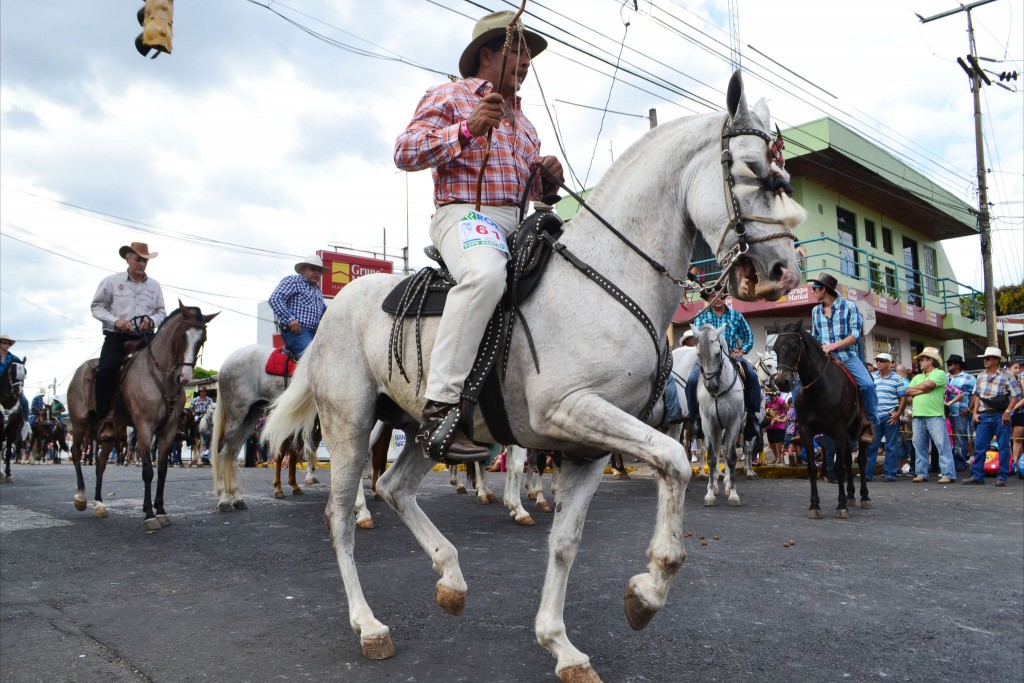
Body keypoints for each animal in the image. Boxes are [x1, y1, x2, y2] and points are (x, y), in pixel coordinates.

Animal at [67, 301, 218, 532]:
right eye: (182, 336)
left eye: (202, 339)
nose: (184, 377)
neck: (162, 379)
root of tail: (79, 370)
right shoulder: (144, 428)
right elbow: (148, 470)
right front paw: (149, 515)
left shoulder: (168, 430)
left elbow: (162, 470)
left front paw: (161, 511)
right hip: (79, 423)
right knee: (76, 453)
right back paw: (81, 498)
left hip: (109, 436)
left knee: (100, 465)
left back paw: (99, 504)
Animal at [262, 70, 798, 683]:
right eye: (754, 170)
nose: (784, 271)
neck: (608, 276)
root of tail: (335, 309)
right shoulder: (570, 412)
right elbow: (676, 461)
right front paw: (648, 590)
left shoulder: (588, 446)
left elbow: (565, 540)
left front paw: (560, 645)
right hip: (349, 426)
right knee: (341, 518)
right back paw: (369, 624)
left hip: (421, 430)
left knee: (395, 487)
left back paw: (451, 579)